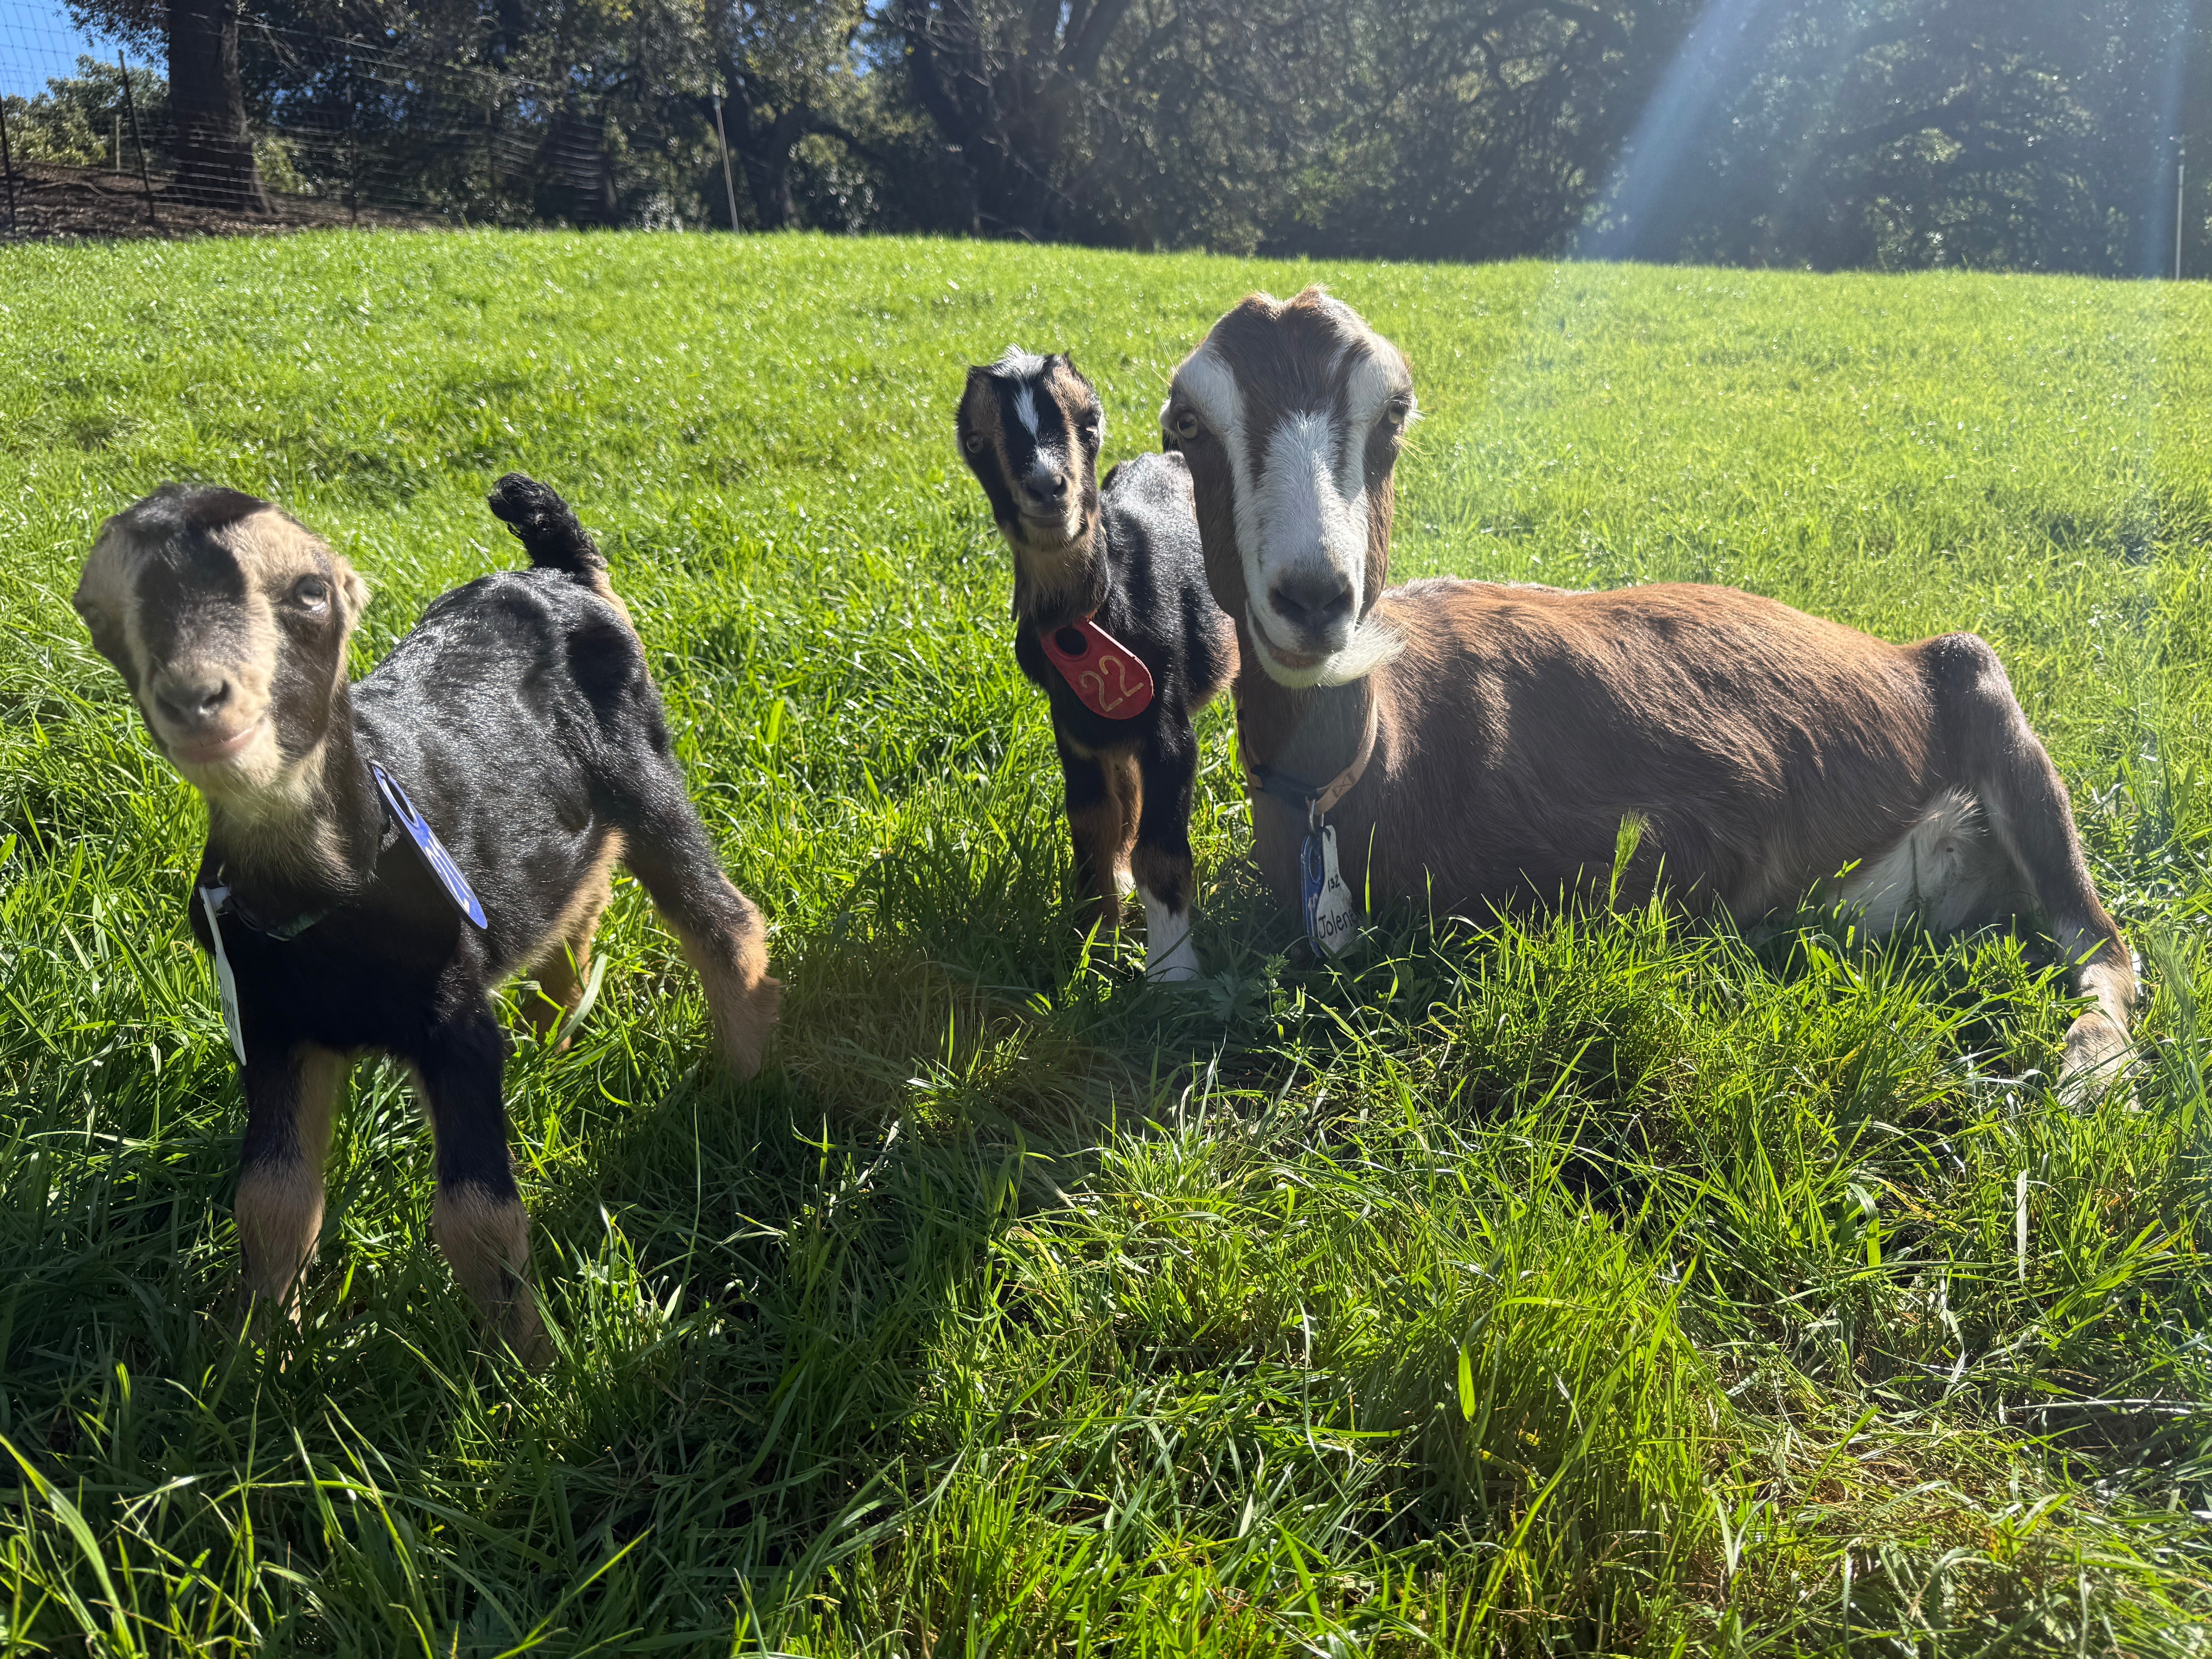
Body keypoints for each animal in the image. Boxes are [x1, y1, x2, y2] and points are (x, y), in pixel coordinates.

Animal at [72, 476, 781, 1362]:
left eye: (311, 592)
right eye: (99, 611)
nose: (197, 700)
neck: (335, 887)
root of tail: (558, 570)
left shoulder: (453, 1021)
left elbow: (476, 1218)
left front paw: (528, 1366)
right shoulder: (272, 1024)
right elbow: (271, 1202)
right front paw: (253, 1352)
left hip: (643, 770)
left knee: (722, 918)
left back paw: (746, 1089)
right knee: (579, 893)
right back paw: (553, 1039)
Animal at [957, 348, 1236, 979]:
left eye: (1090, 425)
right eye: (975, 442)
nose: (1046, 487)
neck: (1089, 622)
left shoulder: (1168, 730)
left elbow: (1162, 848)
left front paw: (1173, 974)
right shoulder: (1074, 729)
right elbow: (1091, 826)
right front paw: (1092, 946)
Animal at [1160, 287, 2133, 1084]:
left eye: (1394, 409)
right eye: (1189, 426)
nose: (1314, 597)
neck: (1383, 762)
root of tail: (1909, 659)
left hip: (1990, 702)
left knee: (2103, 944)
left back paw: (2091, 1074)